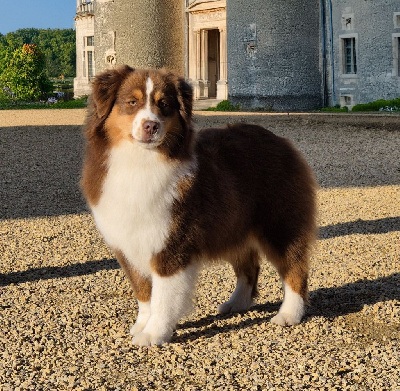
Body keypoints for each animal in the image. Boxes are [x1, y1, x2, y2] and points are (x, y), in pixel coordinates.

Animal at [81, 66, 318, 348]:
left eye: (164, 104)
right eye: (132, 102)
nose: (151, 125)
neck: (140, 162)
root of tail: (281, 141)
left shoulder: (172, 242)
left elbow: (163, 297)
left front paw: (153, 334)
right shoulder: (128, 244)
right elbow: (144, 292)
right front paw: (142, 325)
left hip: (280, 225)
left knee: (295, 269)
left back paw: (289, 314)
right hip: (233, 227)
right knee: (249, 268)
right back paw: (236, 304)